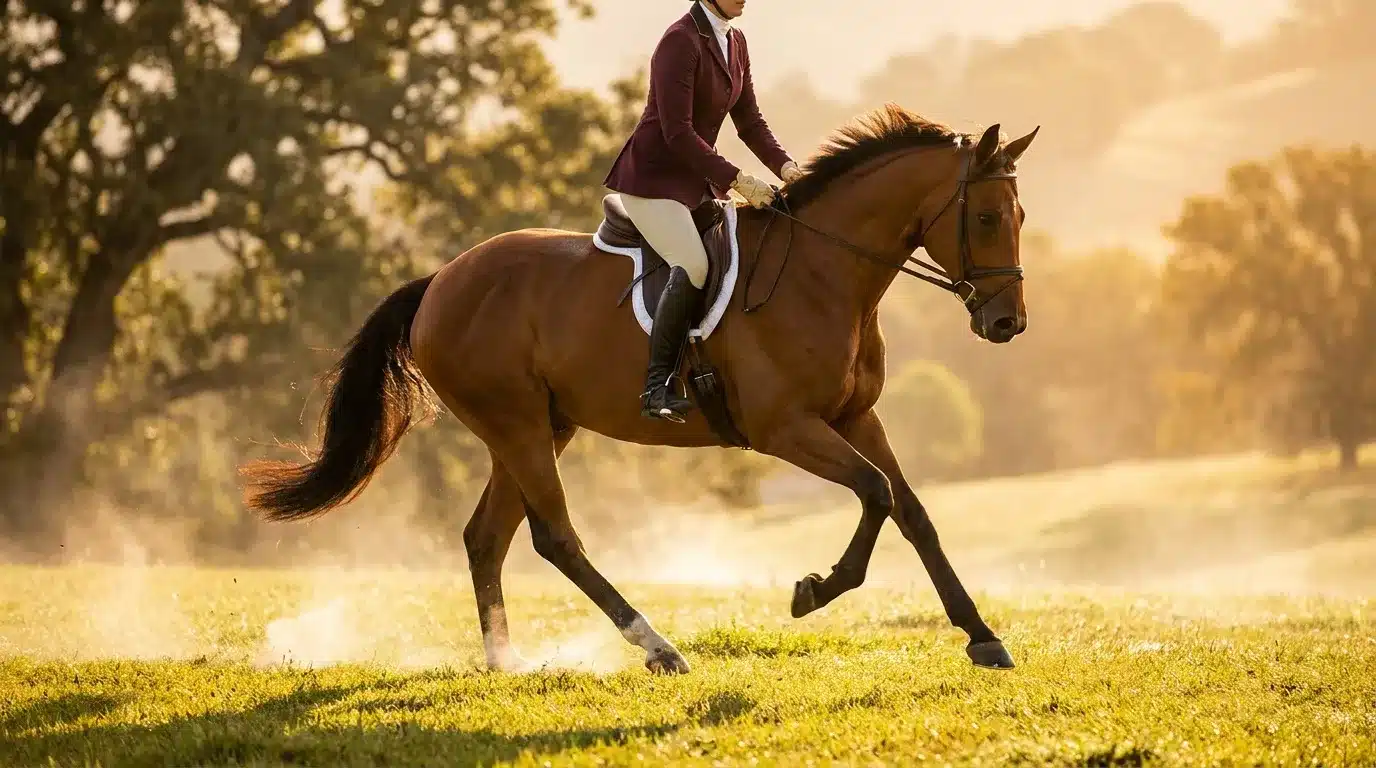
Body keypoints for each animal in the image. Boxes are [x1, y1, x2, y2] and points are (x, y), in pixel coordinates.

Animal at [239, 104, 1040, 675]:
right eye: (986, 217)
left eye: (1020, 216)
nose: (1007, 323)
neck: (825, 272)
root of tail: (440, 280)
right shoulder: (786, 429)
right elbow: (874, 492)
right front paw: (813, 590)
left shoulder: (856, 416)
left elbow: (913, 512)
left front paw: (981, 636)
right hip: (518, 425)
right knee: (555, 537)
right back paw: (657, 647)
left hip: (539, 426)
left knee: (486, 537)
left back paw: (506, 662)